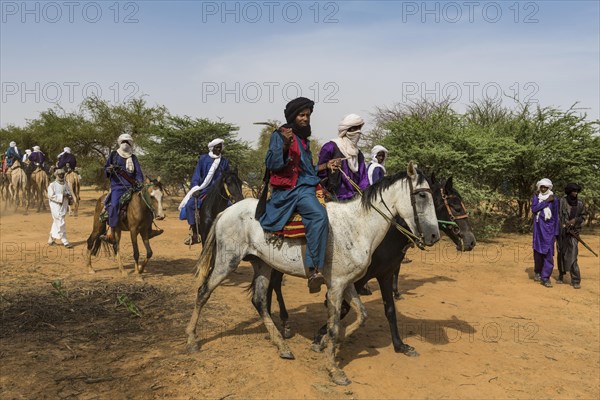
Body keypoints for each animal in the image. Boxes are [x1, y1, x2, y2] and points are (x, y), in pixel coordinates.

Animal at [185, 162, 438, 384]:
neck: (357, 226)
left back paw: (282, 346)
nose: (434, 236)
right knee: (203, 292)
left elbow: (361, 315)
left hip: (262, 265)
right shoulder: (336, 286)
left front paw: (328, 342)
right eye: (422, 196)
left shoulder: (347, 283)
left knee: (259, 301)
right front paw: (334, 369)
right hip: (226, 262)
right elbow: (335, 324)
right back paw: (191, 339)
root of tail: (227, 211)